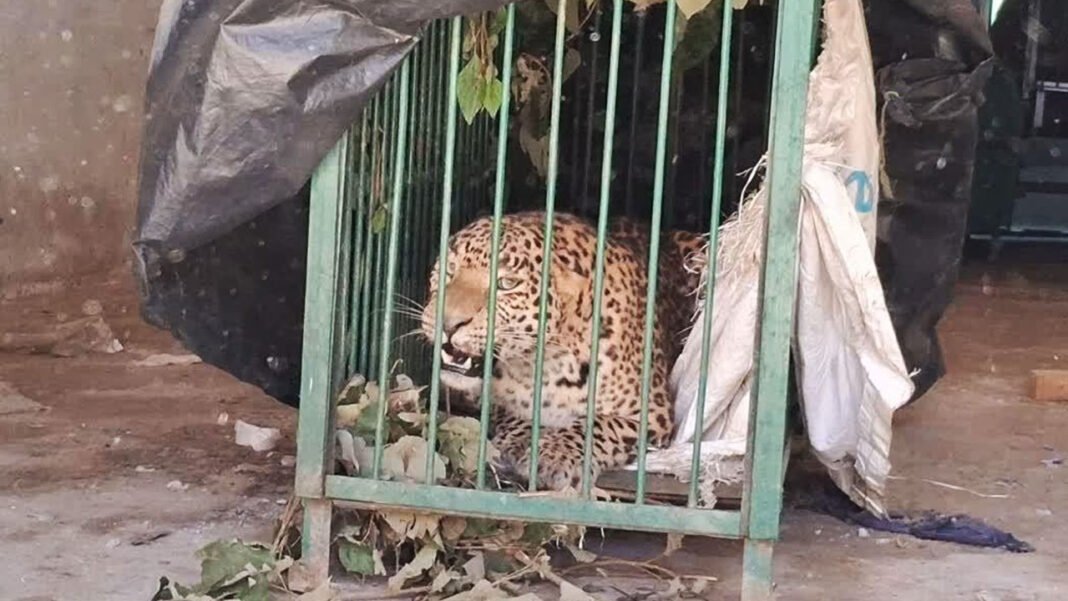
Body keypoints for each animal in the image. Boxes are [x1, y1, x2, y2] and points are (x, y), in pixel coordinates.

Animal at [419, 211, 702, 490]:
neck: (544, 361)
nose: (448, 323)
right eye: (450, 269)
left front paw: (557, 454)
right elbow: (513, 411)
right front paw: (522, 439)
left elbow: (598, 424)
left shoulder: (652, 413)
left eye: (507, 283)